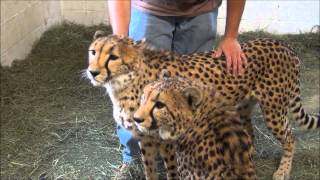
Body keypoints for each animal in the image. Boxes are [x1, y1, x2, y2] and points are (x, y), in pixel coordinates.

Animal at [85, 31, 320, 179]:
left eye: (113, 56)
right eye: (93, 52)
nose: (92, 72)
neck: (124, 82)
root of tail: (284, 44)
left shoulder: (169, 141)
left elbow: (173, 172)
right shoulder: (147, 140)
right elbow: (150, 170)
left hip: (274, 109)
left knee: (290, 136)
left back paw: (283, 171)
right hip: (243, 107)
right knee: (249, 133)